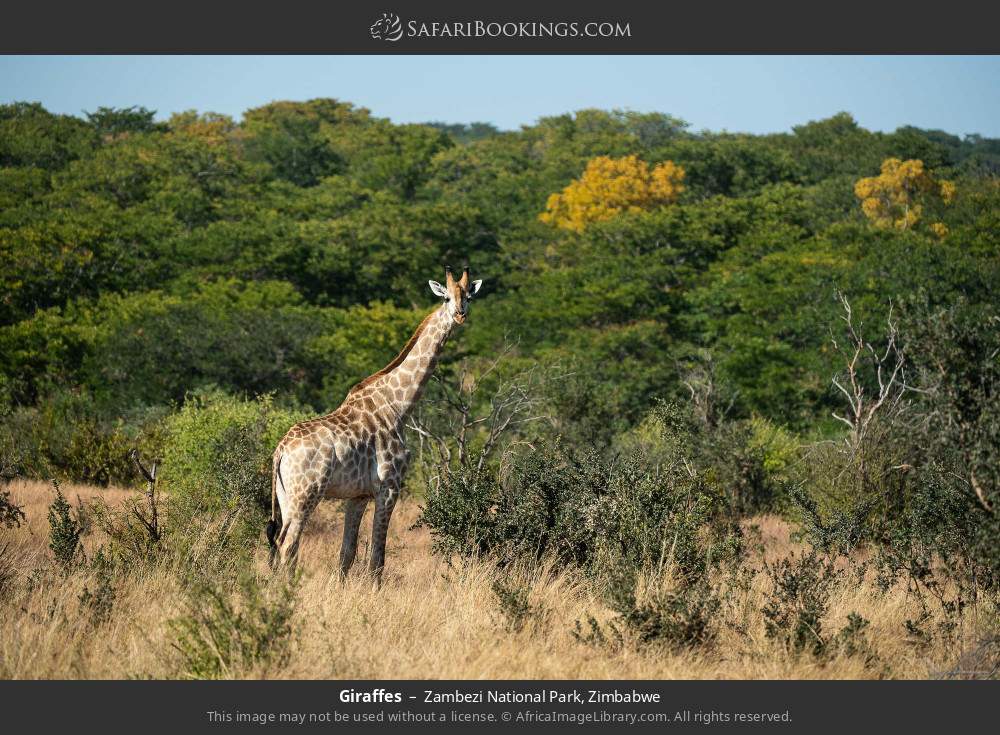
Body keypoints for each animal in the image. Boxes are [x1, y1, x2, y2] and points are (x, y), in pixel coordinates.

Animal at [265, 266, 484, 581]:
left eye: (468, 296)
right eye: (446, 298)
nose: (460, 314)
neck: (398, 406)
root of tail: (280, 450)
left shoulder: (357, 495)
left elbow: (347, 554)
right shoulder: (389, 488)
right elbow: (377, 559)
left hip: (285, 496)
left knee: (282, 545)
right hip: (306, 493)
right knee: (287, 544)